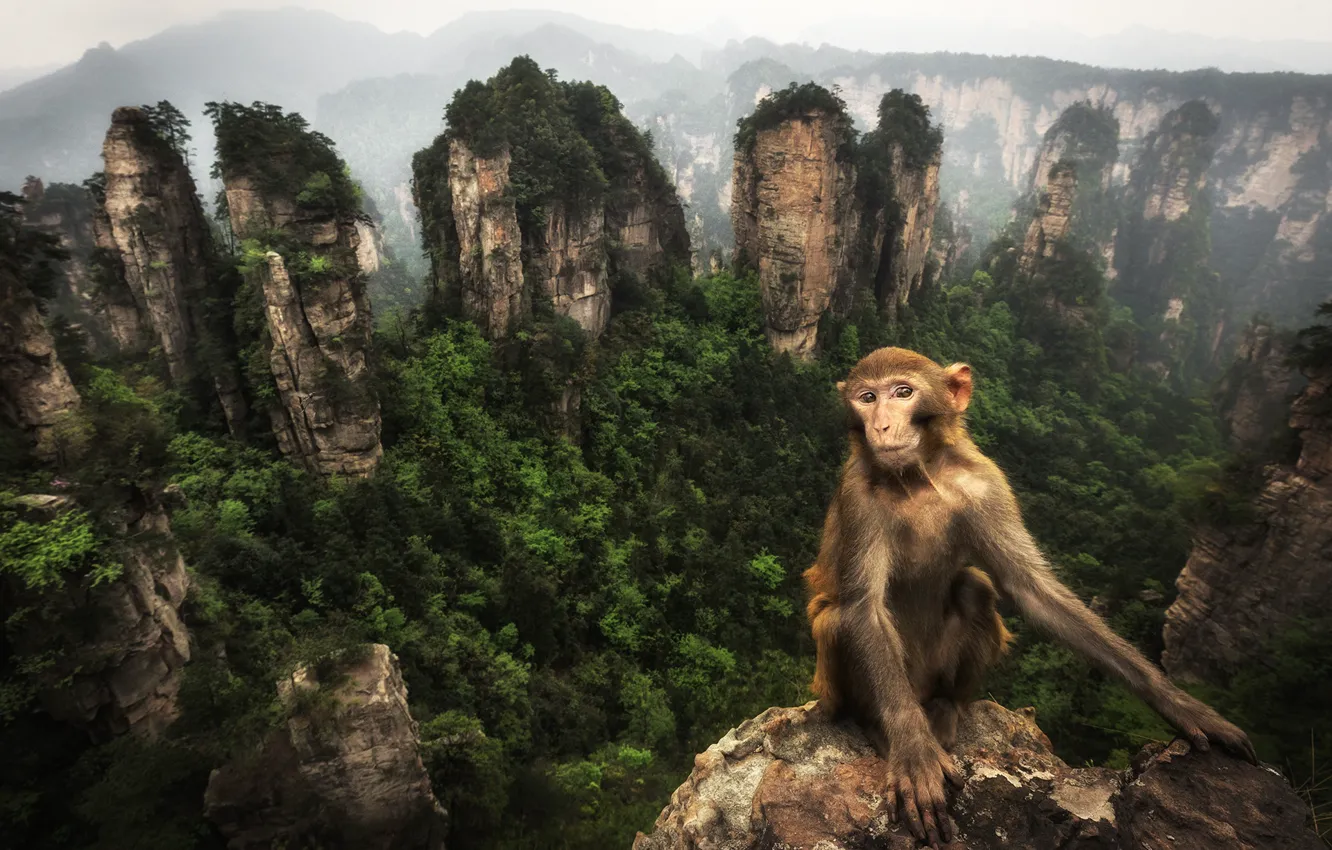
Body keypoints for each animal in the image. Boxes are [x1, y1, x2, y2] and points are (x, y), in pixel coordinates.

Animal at [804, 347, 1255, 848]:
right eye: (867, 398)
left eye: (903, 392)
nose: (881, 426)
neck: (916, 477)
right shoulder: (857, 496)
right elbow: (864, 608)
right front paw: (913, 750)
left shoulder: (986, 483)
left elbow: (1030, 587)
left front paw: (1175, 701)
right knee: (840, 620)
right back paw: (880, 724)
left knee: (975, 589)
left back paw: (946, 706)